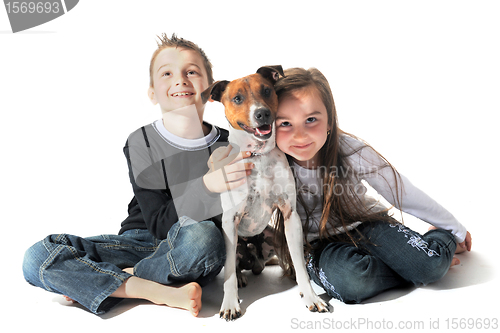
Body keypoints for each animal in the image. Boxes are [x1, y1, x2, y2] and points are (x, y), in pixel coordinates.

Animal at [201, 65, 330, 320]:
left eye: (267, 90)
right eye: (237, 98)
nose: (262, 113)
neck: (258, 155)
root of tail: (256, 261)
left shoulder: (290, 215)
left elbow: (300, 264)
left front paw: (310, 296)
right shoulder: (230, 221)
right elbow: (228, 272)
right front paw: (229, 303)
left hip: (275, 237)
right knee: (235, 266)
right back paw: (241, 277)